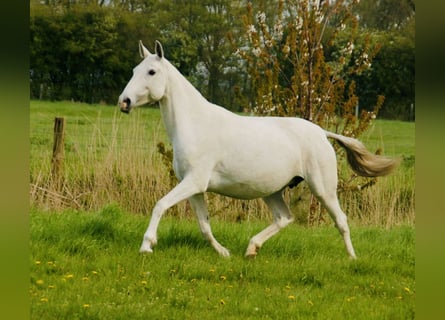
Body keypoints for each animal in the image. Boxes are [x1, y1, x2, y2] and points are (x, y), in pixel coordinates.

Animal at [117, 40, 396, 260]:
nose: (124, 102)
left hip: (322, 188)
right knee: (284, 218)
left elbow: (160, 204)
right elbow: (204, 225)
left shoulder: (194, 182)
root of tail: (321, 133)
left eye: (151, 71)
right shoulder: (194, 187)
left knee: (341, 220)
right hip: (272, 191)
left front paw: (147, 246)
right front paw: (224, 252)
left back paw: (352, 258)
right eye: (134, 70)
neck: (196, 124)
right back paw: (251, 249)